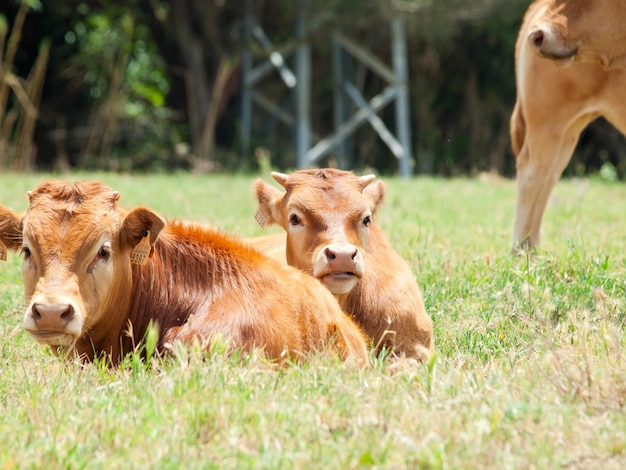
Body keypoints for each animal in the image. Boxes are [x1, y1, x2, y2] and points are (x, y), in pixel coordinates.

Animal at [508, 0, 624, 250]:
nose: (539, 35)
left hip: (567, 130)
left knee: (548, 177)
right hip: (547, 120)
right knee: (533, 175)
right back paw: (522, 251)